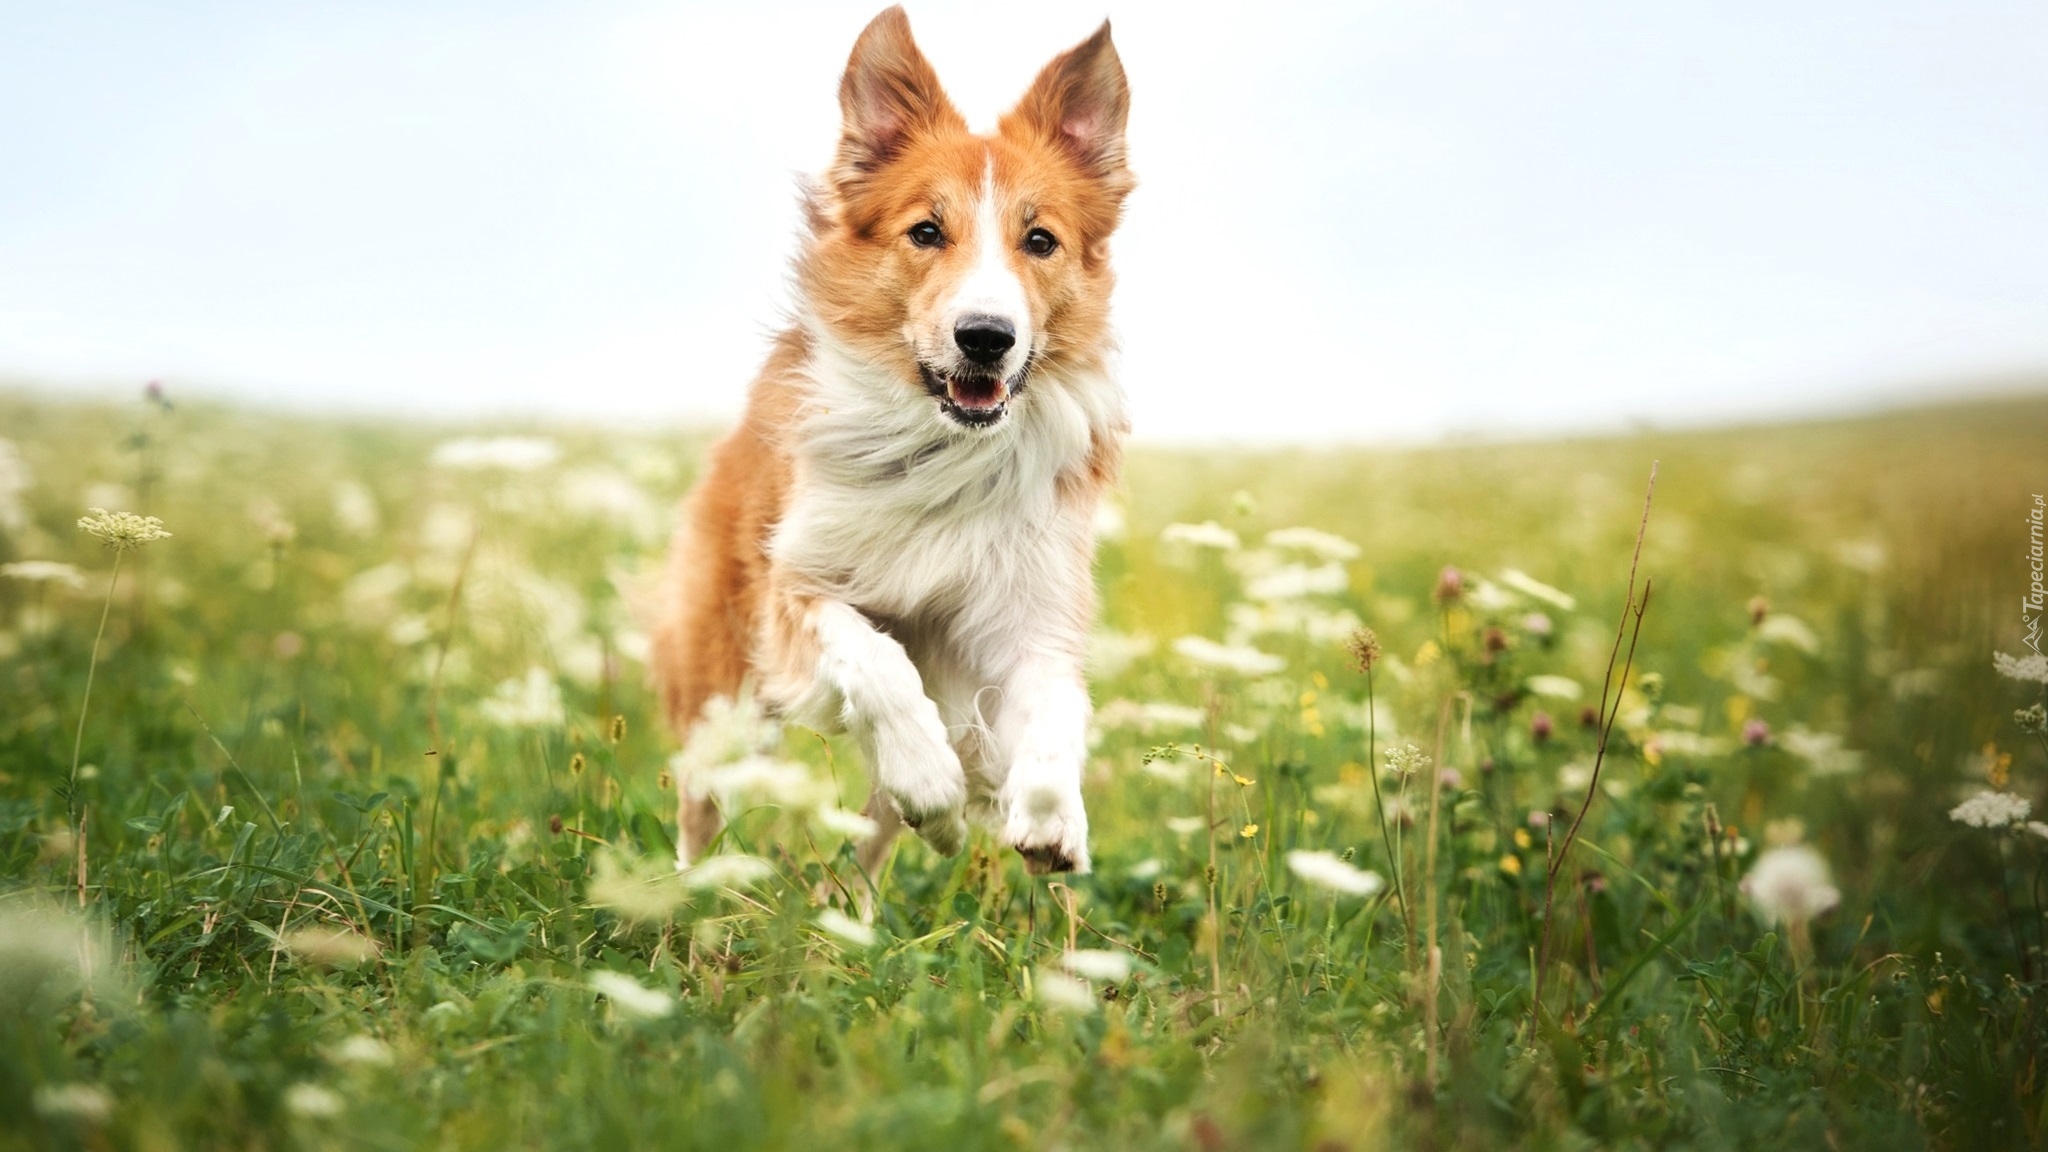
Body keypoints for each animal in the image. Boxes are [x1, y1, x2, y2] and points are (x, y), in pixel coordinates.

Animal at [651, 6, 1138, 877]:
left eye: (1040, 240)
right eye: (927, 231)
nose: (986, 337)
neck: (945, 450)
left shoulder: (1029, 611)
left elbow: (1058, 703)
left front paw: (1052, 818)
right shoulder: (796, 588)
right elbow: (876, 658)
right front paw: (930, 775)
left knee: (867, 854)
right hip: (722, 691)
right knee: (701, 809)